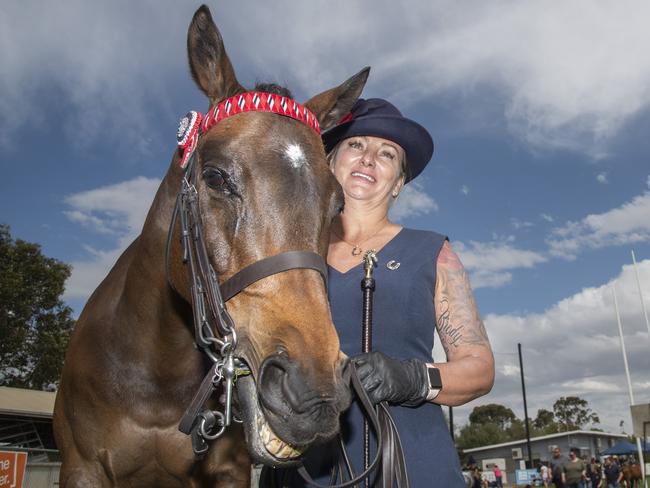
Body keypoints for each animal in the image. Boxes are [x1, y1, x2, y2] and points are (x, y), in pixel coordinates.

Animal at [53, 5, 368, 486]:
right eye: (215, 177)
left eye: (338, 204)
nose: (313, 390)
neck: (157, 378)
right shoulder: (81, 467)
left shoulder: (230, 471)